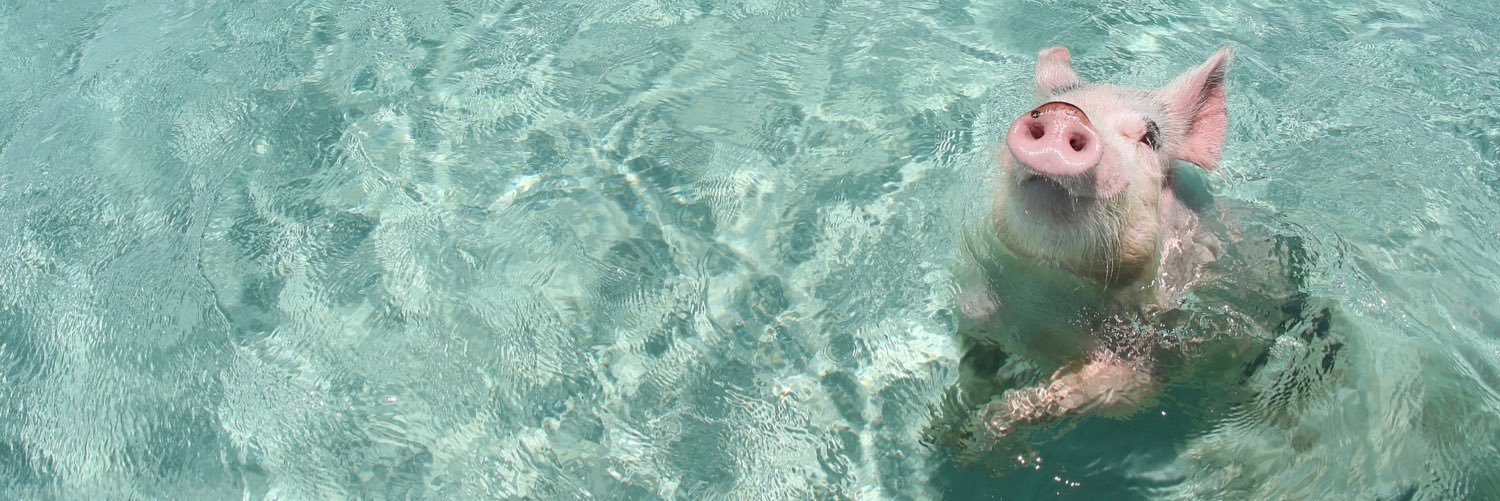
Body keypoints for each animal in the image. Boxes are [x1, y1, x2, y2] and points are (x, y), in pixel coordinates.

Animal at [952, 45, 1248, 445]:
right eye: (1043, 108)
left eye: (1149, 137)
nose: (1065, 114)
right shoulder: (977, 304)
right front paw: (949, 426)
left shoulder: (1149, 353)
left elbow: (1099, 389)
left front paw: (978, 431)